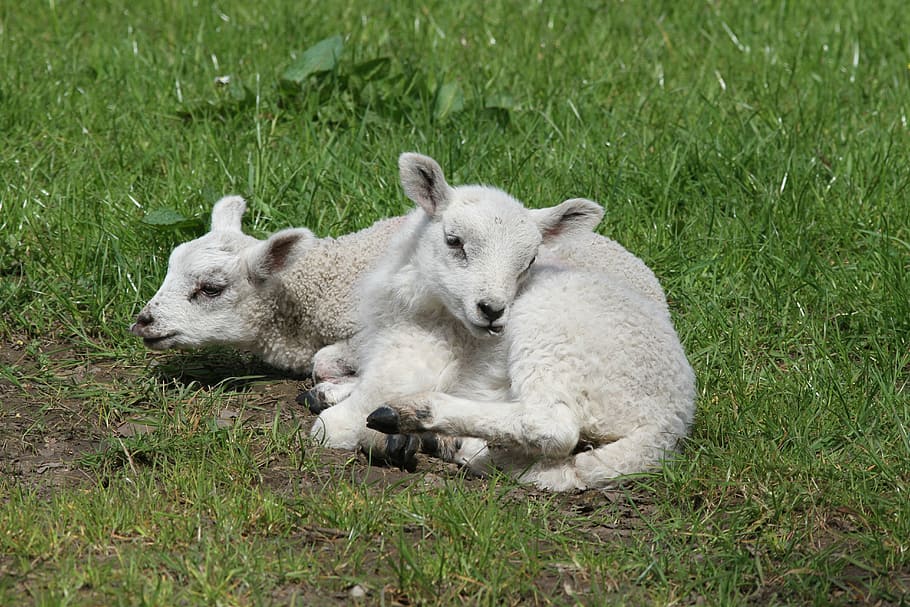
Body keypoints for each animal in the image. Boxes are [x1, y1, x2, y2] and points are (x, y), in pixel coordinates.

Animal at [311, 153, 696, 491]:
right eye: (454, 241)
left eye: (530, 260)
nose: (493, 309)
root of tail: (667, 423)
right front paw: (329, 389)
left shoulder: (416, 355)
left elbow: (342, 417)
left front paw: (342, 416)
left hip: (553, 339)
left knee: (552, 426)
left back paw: (415, 416)